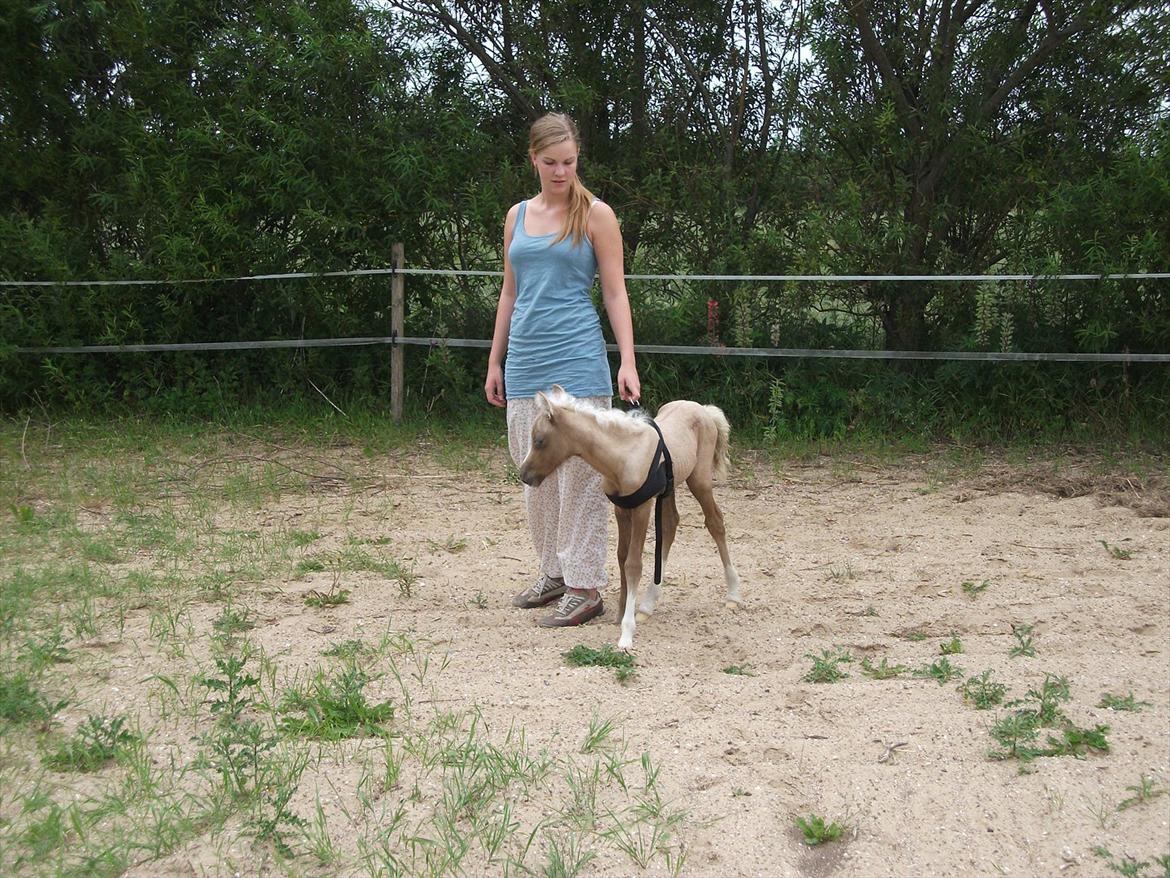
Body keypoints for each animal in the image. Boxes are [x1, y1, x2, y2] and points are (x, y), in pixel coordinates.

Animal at [519, 386, 739, 655]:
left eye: (539, 440)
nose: (524, 474)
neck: (622, 456)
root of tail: (703, 409)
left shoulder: (642, 507)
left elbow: (633, 564)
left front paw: (626, 633)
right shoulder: (621, 510)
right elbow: (621, 557)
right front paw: (623, 611)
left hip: (700, 480)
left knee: (715, 522)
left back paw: (733, 594)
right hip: (669, 488)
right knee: (671, 525)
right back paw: (647, 605)